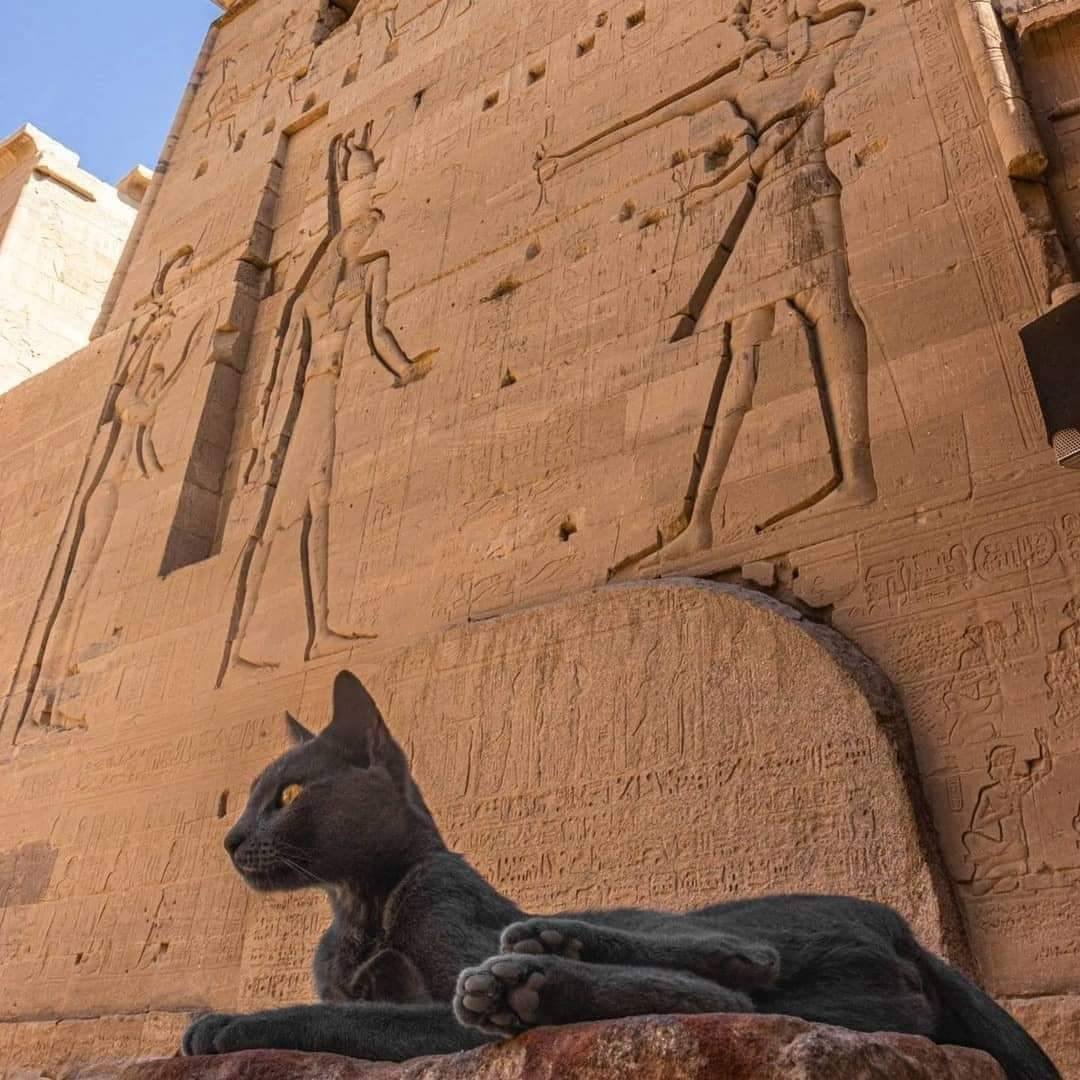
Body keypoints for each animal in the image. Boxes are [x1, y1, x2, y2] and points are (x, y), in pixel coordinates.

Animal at [181, 669, 1058, 1075]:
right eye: (251, 796)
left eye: (288, 795)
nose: (227, 838)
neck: (358, 906)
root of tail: (901, 925)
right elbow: (352, 1005)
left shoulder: (434, 971)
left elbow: (362, 1017)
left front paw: (226, 1026)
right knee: (720, 1001)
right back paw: (537, 972)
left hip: (697, 917)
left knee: (740, 977)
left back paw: (530, 968)